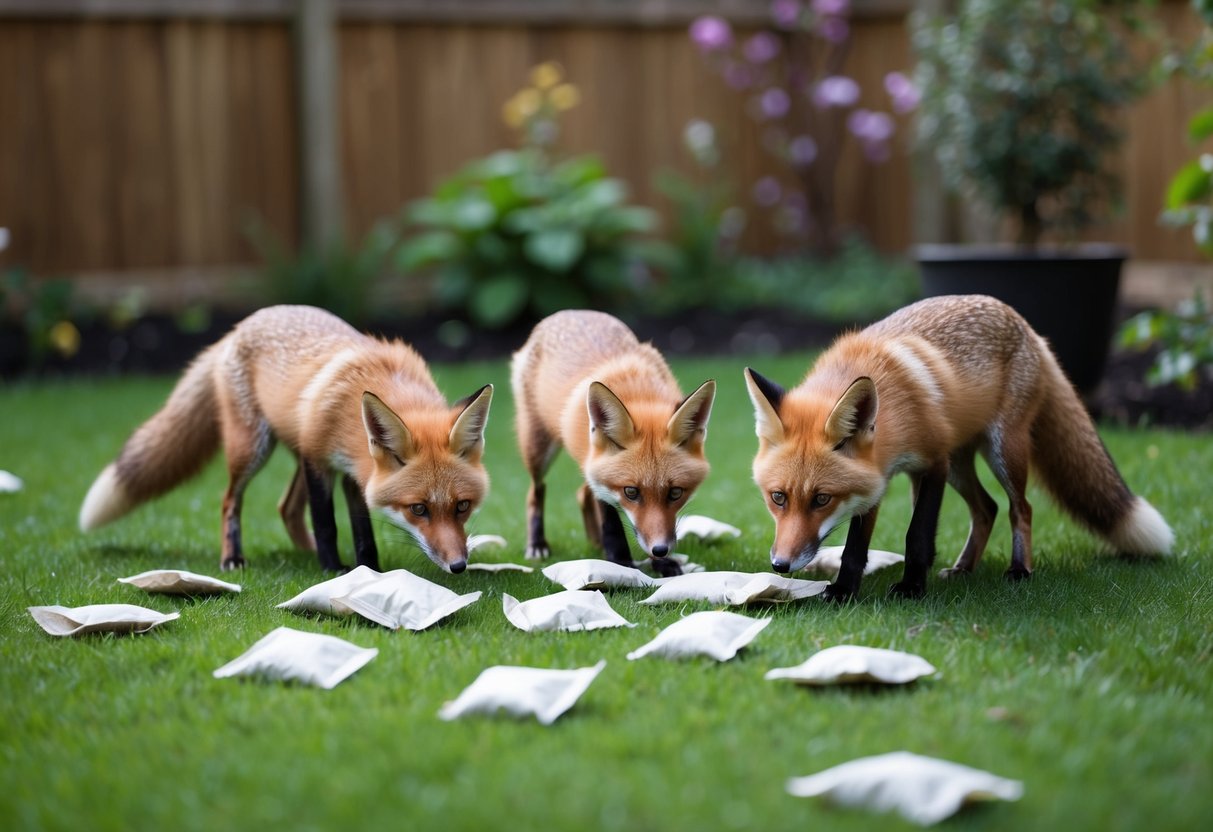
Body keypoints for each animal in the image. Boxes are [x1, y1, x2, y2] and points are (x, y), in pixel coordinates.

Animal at [79, 305, 493, 575]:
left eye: (462, 506)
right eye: (418, 509)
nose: (458, 566)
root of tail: (238, 327)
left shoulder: (353, 472)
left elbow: (362, 531)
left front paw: (368, 569)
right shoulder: (319, 459)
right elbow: (326, 522)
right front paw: (333, 570)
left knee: (286, 507)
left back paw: (303, 550)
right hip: (253, 449)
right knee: (230, 500)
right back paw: (233, 558)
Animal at [511, 310, 716, 577]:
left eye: (675, 493)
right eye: (631, 492)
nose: (660, 549)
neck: (639, 394)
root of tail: (568, 312)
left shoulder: (596, 466)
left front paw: (663, 564)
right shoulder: (602, 476)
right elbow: (612, 521)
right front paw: (621, 563)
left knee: (581, 494)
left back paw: (595, 542)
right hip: (538, 446)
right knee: (536, 491)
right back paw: (537, 544)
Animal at [745, 294, 1174, 601]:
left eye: (821, 499)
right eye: (778, 498)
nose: (780, 565)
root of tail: (1026, 326)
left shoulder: (931, 463)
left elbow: (917, 535)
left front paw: (912, 588)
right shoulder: (877, 480)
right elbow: (855, 547)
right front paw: (845, 591)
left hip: (1002, 451)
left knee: (1020, 508)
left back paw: (1020, 570)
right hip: (960, 463)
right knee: (987, 508)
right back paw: (964, 568)